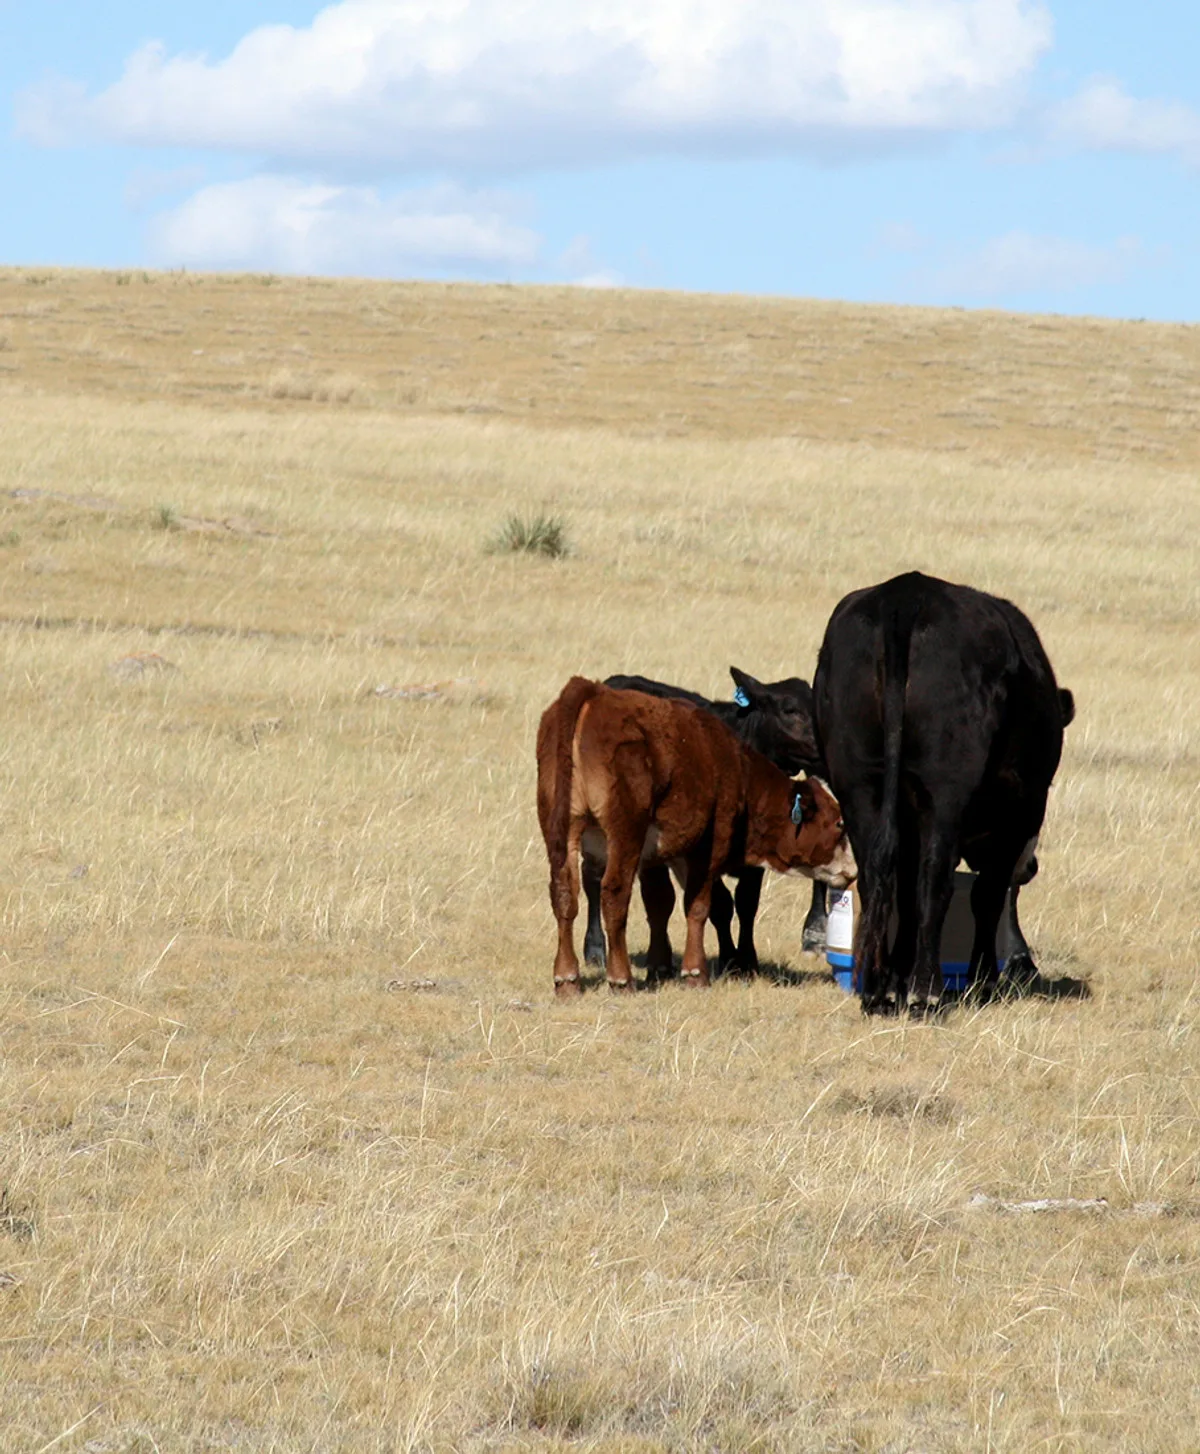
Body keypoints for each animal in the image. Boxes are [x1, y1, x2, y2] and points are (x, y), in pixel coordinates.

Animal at [536, 677, 856, 997]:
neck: (732, 764)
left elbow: (660, 902)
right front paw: (696, 972)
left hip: (561, 831)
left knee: (564, 893)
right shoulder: (707, 849)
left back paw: (567, 978)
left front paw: (660, 967)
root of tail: (591, 693)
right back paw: (620, 977)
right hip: (624, 834)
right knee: (613, 894)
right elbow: (702, 906)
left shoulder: (664, 854)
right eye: (839, 823)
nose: (853, 871)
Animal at [812, 571, 1073, 1014]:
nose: (1032, 866)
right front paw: (983, 980)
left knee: (881, 878)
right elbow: (988, 895)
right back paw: (926, 989)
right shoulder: (1020, 815)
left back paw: (879, 989)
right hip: (945, 792)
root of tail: (905, 594)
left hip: (858, 784)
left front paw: (899, 976)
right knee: (935, 881)